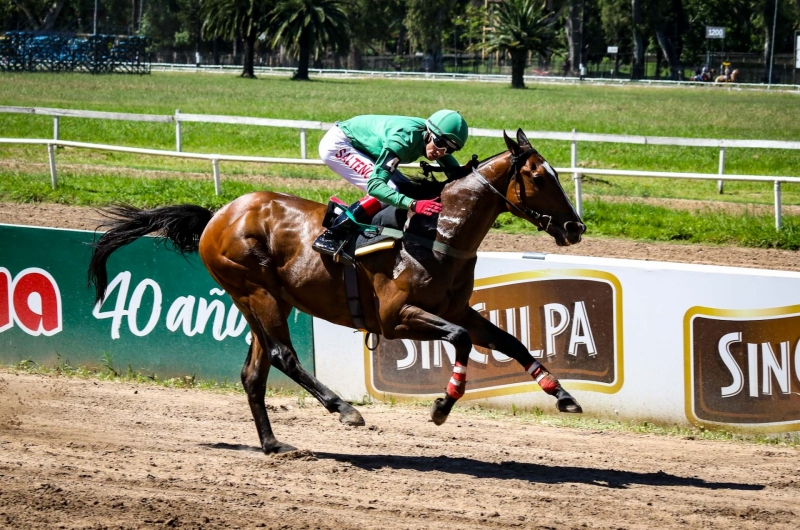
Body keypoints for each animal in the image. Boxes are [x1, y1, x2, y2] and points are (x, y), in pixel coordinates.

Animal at [87, 127, 588, 450]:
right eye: (540, 176)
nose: (575, 227)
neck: (438, 231)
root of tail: (217, 215)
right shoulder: (394, 318)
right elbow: (462, 340)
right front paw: (443, 404)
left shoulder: (456, 308)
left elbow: (509, 340)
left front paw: (562, 395)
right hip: (256, 291)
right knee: (283, 356)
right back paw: (344, 408)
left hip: (261, 300)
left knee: (254, 372)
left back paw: (274, 444)